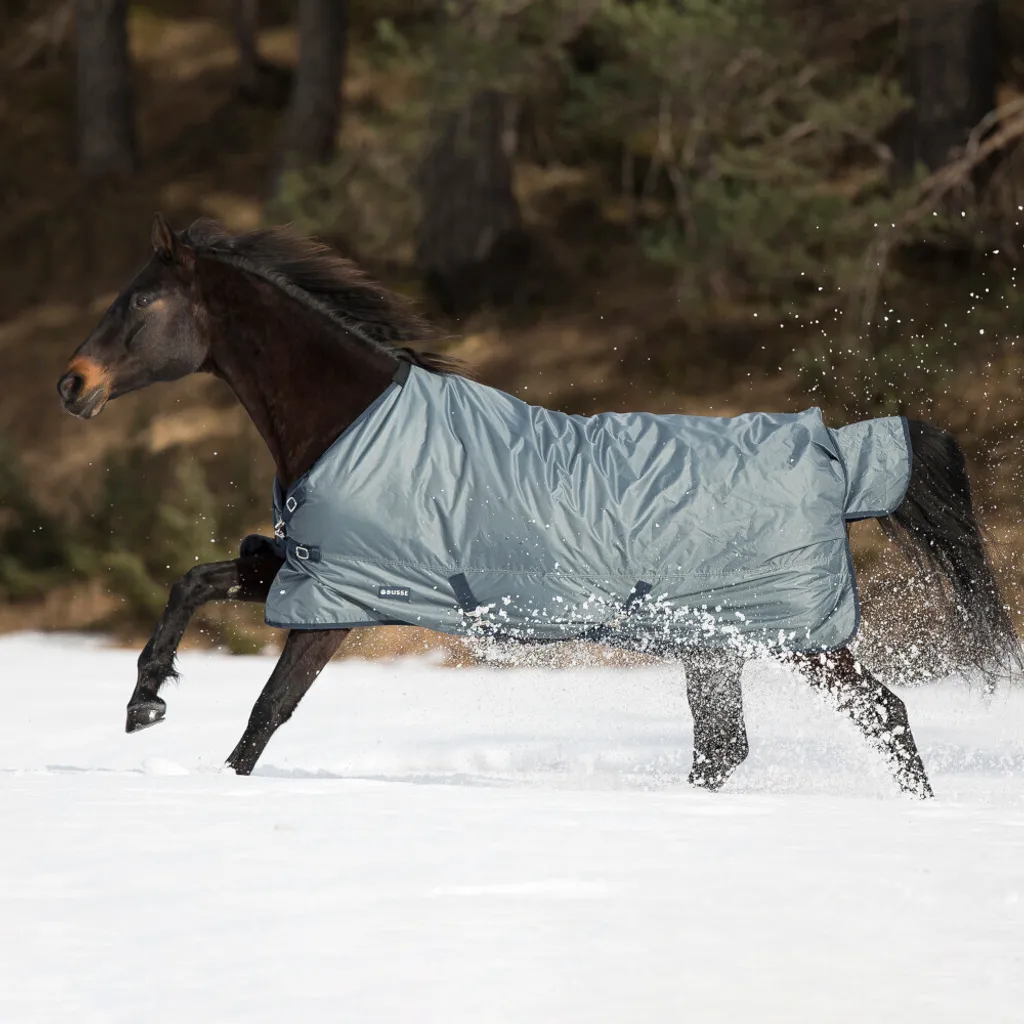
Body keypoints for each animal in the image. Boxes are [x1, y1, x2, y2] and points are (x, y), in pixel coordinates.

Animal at [56, 214, 1020, 798]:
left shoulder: (336, 603)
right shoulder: (311, 572)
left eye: (141, 301)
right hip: (718, 645)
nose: (72, 385)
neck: (349, 421)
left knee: (883, 715)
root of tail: (841, 455)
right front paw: (145, 702)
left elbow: (265, 716)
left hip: (792, 637)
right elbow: (192, 581)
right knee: (727, 747)